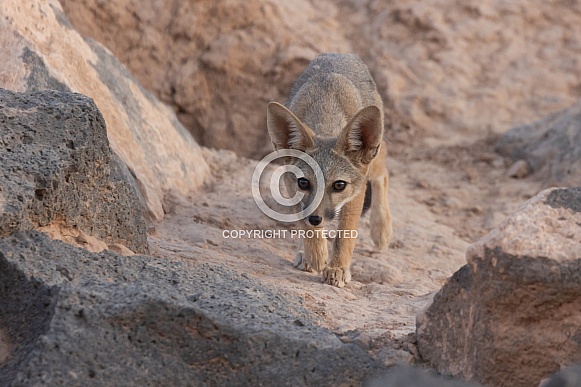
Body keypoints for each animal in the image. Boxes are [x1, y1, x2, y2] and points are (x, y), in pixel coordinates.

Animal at [266, 53, 392, 288]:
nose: (316, 220)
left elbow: (345, 235)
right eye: (304, 183)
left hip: (374, 164)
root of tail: (341, 53)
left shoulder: (356, 192)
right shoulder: (290, 183)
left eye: (339, 185)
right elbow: (305, 225)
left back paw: (381, 228)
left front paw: (337, 268)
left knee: (383, 175)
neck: (326, 112)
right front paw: (316, 255)